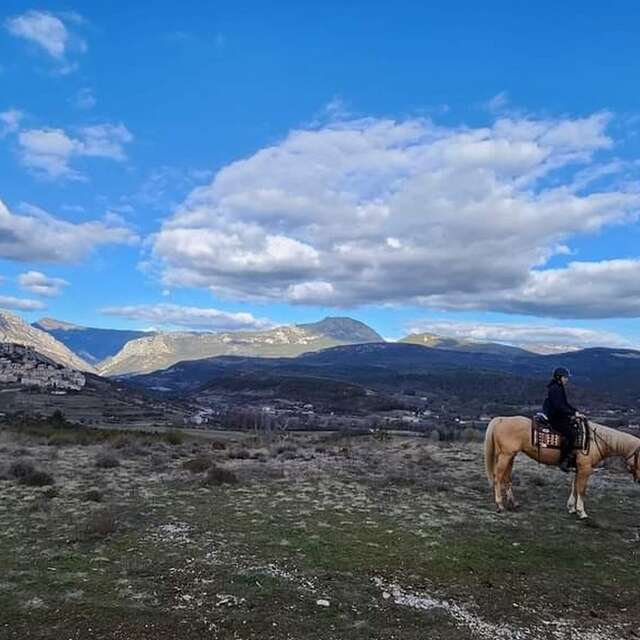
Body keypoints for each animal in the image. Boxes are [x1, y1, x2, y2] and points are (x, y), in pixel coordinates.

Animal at [484, 416, 640, 519]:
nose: (638, 480)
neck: (594, 440)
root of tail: (501, 419)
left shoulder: (579, 468)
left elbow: (574, 487)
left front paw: (572, 508)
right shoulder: (585, 468)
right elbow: (581, 489)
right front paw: (581, 512)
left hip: (510, 456)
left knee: (506, 478)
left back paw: (513, 502)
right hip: (505, 456)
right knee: (497, 478)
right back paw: (500, 505)